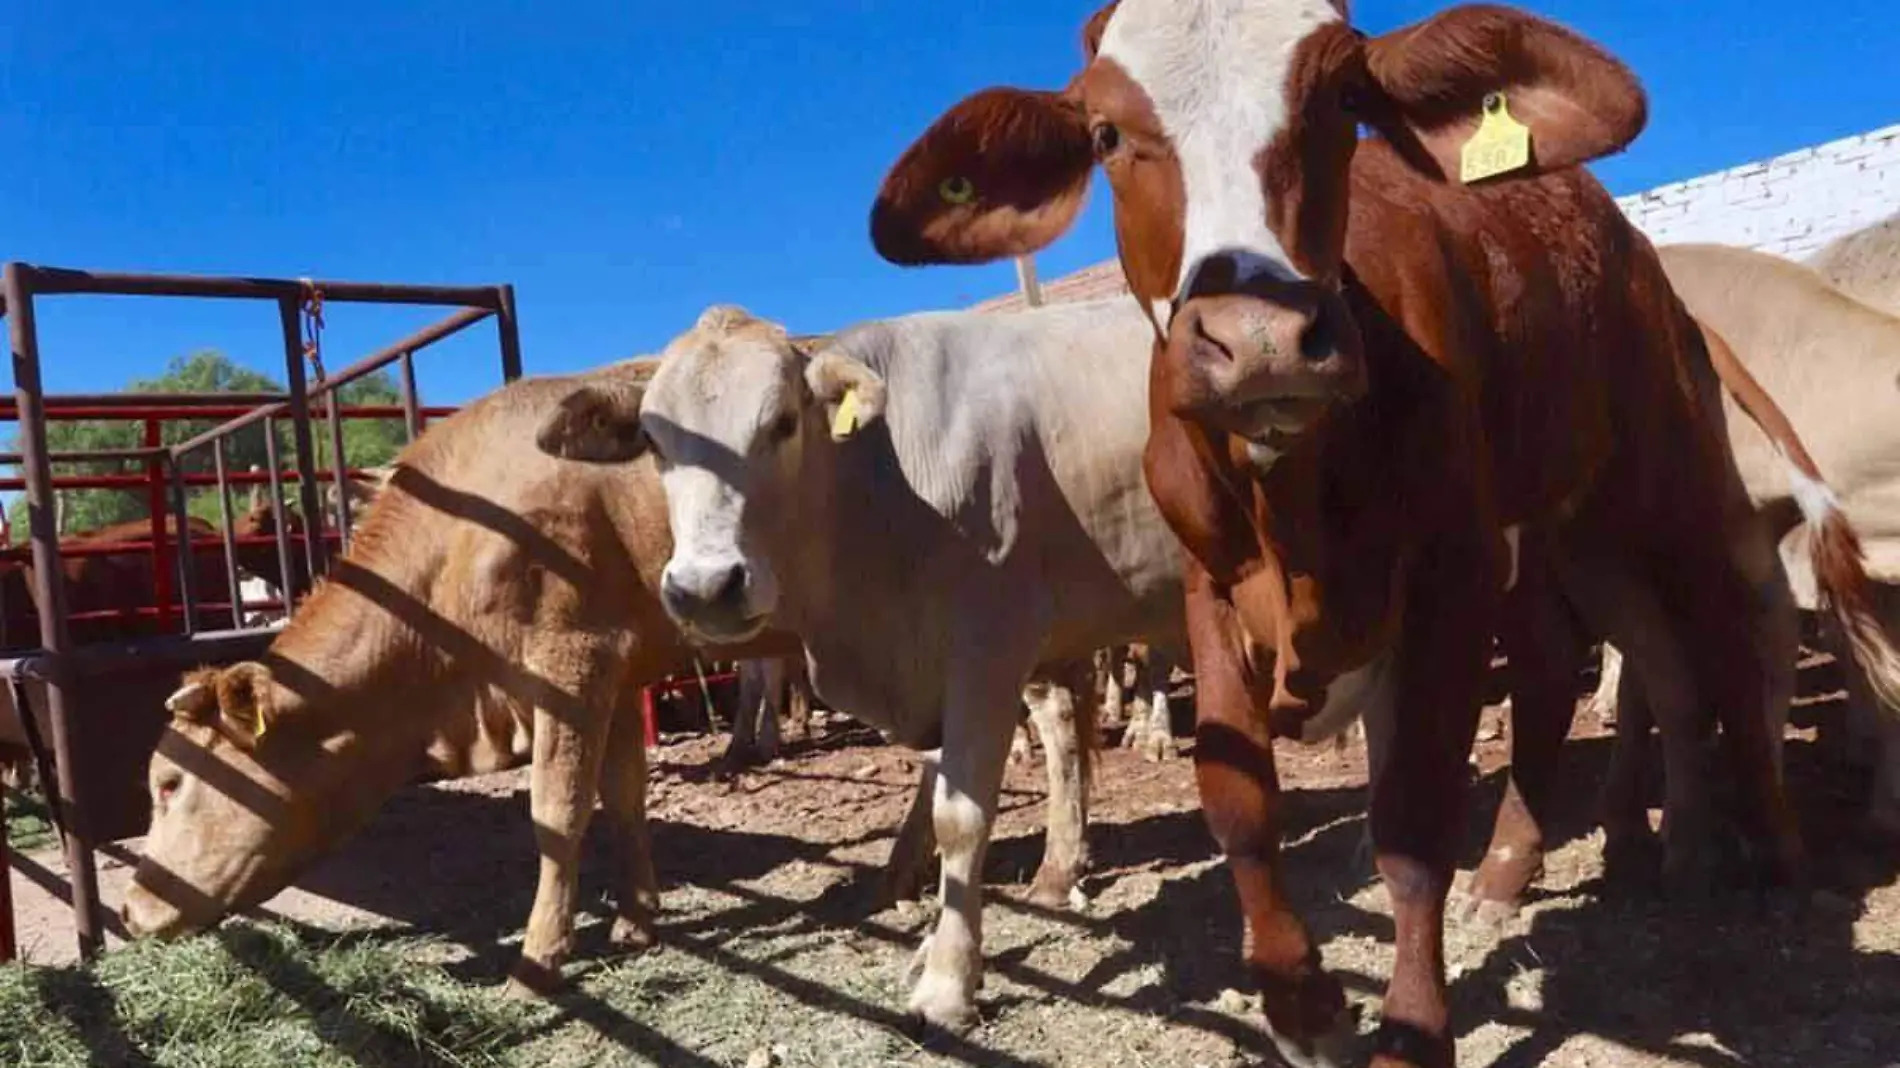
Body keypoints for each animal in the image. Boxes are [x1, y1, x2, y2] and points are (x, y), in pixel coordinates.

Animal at [870, 4, 1892, 1056]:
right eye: (1108, 134)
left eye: (1341, 100)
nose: (1262, 341)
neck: (1298, 503)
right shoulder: (1210, 585)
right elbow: (1237, 802)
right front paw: (1303, 1005)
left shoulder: (1449, 575)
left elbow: (1412, 822)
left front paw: (1411, 1029)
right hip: (1564, 533)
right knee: (1582, 664)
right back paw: (1564, 864)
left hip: (1662, 482)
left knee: (1722, 641)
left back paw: (1774, 850)